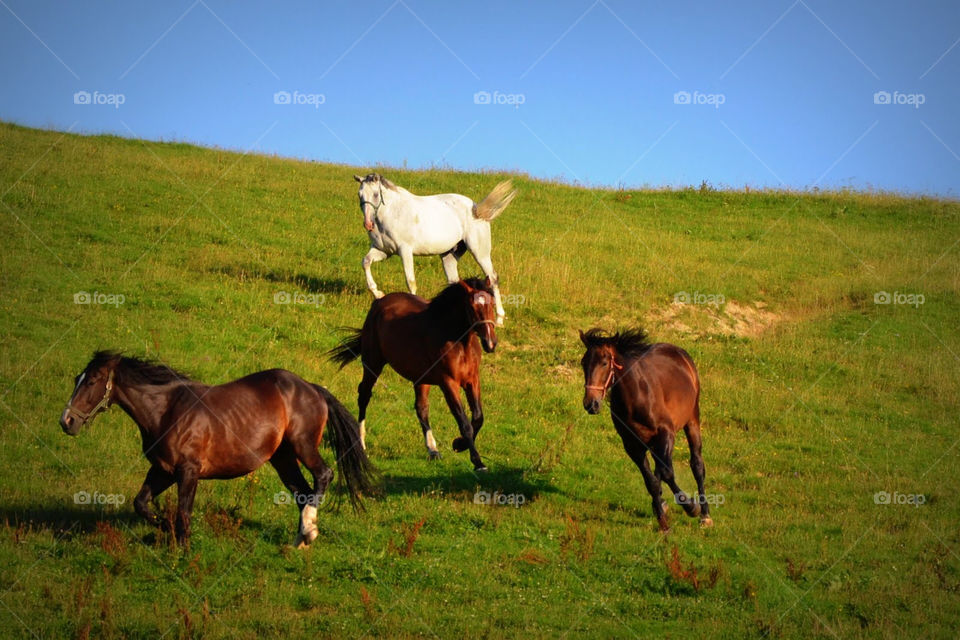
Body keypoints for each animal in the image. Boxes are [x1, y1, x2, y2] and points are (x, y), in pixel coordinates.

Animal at [59, 352, 376, 548]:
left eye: (91, 381)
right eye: (76, 379)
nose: (67, 421)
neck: (166, 410)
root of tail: (312, 388)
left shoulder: (188, 471)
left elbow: (183, 513)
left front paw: (182, 552)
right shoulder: (162, 470)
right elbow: (142, 504)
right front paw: (164, 527)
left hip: (303, 446)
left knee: (323, 476)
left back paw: (310, 529)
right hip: (282, 457)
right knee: (301, 491)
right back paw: (301, 539)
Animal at [328, 278, 498, 470]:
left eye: (492, 304)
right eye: (472, 307)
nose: (490, 343)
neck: (460, 344)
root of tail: (379, 302)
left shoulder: (472, 381)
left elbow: (478, 418)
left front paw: (459, 445)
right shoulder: (449, 383)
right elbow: (465, 423)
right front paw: (477, 461)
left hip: (421, 378)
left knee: (421, 408)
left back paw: (433, 450)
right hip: (373, 364)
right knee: (364, 395)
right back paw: (361, 442)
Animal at [354, 174, 516, 324]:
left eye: (375, 194)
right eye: (359, 195)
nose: (368, 224)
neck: (392, 213)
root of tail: (475, 209)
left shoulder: (405, 251)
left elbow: (410, 281)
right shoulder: (383, 251)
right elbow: (365, 262)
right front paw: (378, 293)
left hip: (480, 252)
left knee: (493, 278)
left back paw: (499, 318)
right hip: (449, 255)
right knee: (454, 281)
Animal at [576, 330, 712, 528]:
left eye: (604, 363)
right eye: (583, 362)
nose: (591, 404)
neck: (636, 396)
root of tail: (679, 352)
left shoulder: (666, 433)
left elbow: (667, 472)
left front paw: (690, 507)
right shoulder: (632, 444)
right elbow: (651, 481)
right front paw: (662, 521)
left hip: (692, 421)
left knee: (696, 465)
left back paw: (705, 514)